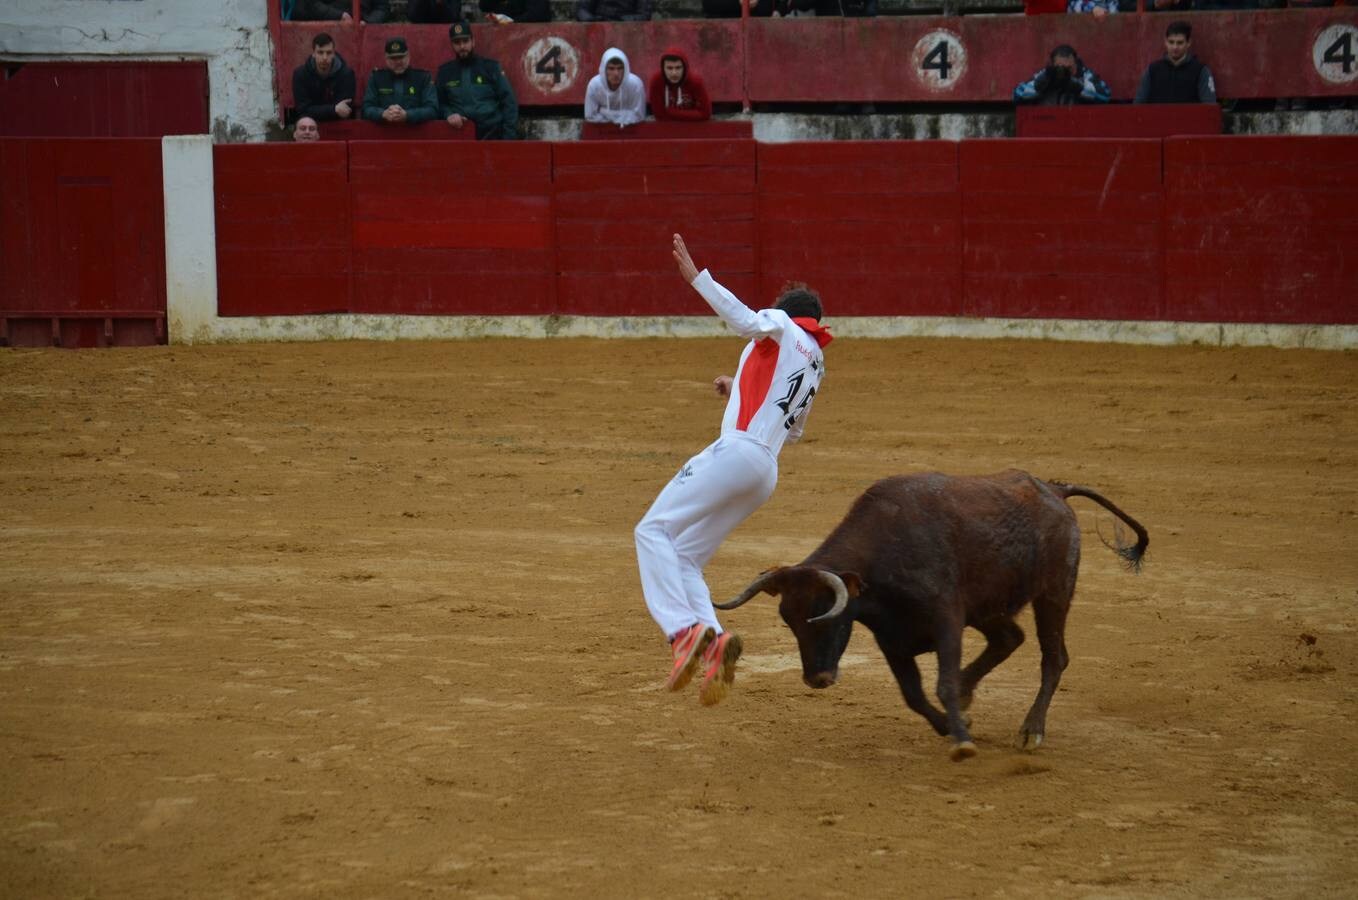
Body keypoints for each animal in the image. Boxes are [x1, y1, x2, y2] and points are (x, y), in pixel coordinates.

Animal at [722, 472, 1146, 760]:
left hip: (1053, 593)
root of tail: (1054, 490)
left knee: (1053, 657)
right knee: (1009, 639)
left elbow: (940, 685)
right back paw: (970, 691)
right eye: (789, 621)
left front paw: (962, 741)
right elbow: (914, 695)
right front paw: (956, 725)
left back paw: (1030, 731)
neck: (884, 556)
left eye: (826, 616)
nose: (817, 679)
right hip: (987, 606)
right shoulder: (892, 639)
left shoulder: (948, 622)